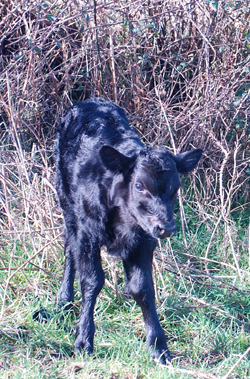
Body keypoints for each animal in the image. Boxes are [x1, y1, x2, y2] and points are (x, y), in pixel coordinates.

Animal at [53, 98, 202, 366]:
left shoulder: (144, 240)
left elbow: (142, 288)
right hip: (66, 204)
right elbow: (92, 280)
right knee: (69, 249)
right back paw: (63, 300)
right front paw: (83, 340)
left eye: (175, 188)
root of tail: (91, 101)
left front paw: (158, 347)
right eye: (139, 186)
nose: (166, 227)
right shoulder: (87, 232)